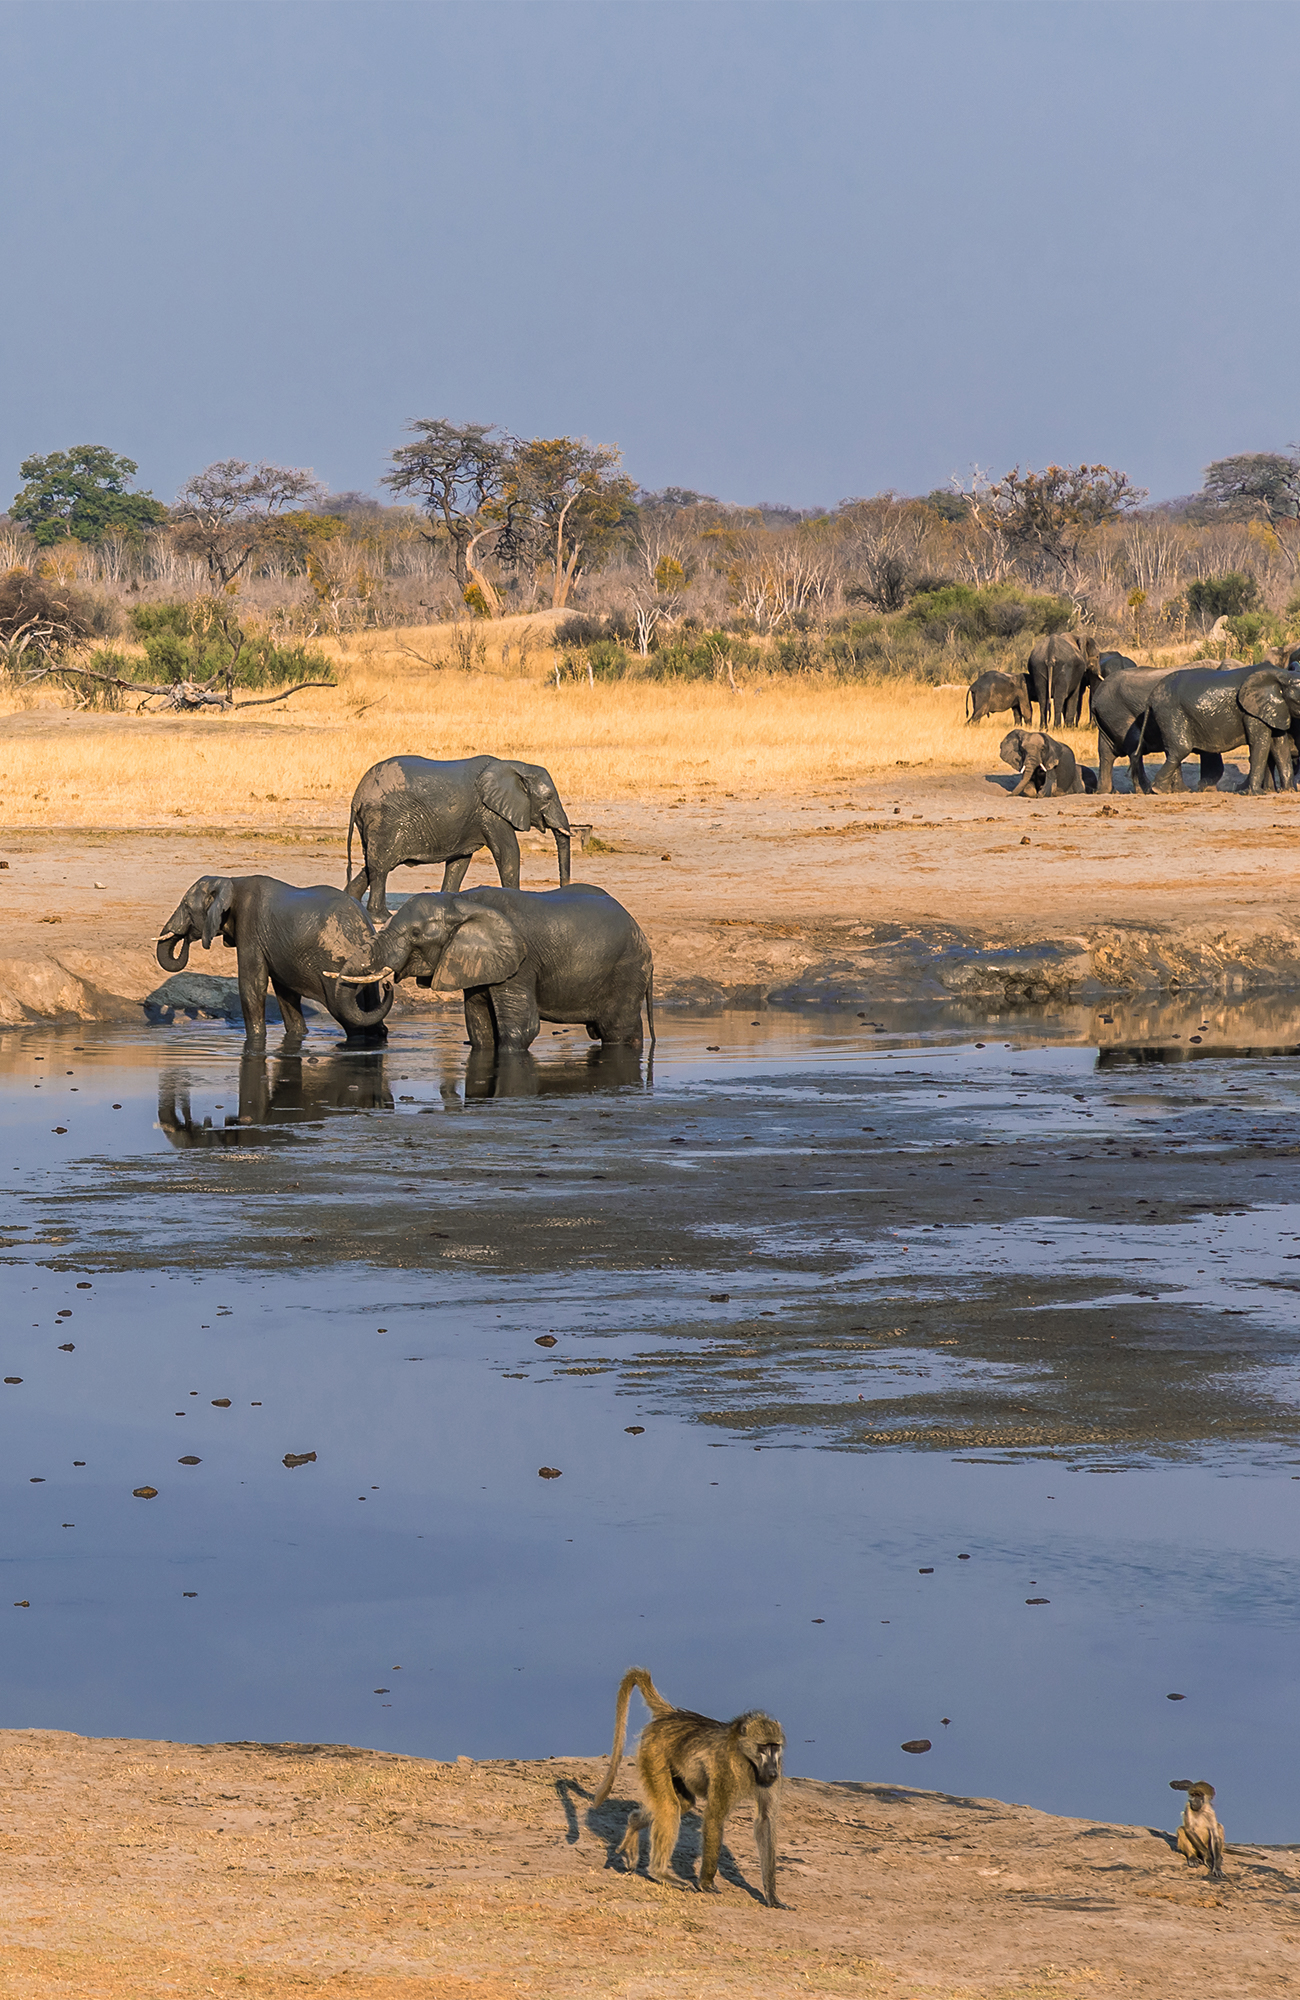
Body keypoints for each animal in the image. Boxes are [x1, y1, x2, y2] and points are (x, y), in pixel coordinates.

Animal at [156, 875, 395, 1043]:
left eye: (186, 906)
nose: (186, 938)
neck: (229, 881)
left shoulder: (249, 927)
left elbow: (252, 985)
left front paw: (255, 1040)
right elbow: (285, 992)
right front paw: (299, 1034)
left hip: (336, 964)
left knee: (348, 1017)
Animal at [335, 883, 654, 1053]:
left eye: (415, 934)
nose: (388, 983)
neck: (461, 901)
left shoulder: (521, 964)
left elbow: (520, 1030)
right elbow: (480, 1028)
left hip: (626, 968)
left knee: (616, 1029)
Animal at [344, 754, 572, 919]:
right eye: (549, 797)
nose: (564, 892)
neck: (516, 766)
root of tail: (357, 797)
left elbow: (459, 862)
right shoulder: (490, 812)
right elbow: (507, 853)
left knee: (373, 863)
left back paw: (350, 901)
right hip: (386, 819)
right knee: (382, 866)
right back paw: (381, 917)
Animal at [1141, 664, 1300, 794]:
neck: (1282, 674)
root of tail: (1151, 696)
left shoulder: (1276, 709)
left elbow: (1279, 745)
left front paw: (1288, 791)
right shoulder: (1251, 710)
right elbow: (1261, 743)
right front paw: (1257, 793)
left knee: (1174, 751)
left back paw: (1176, 790)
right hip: (1170, 713)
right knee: (1181, 749)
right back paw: (1160, 790)